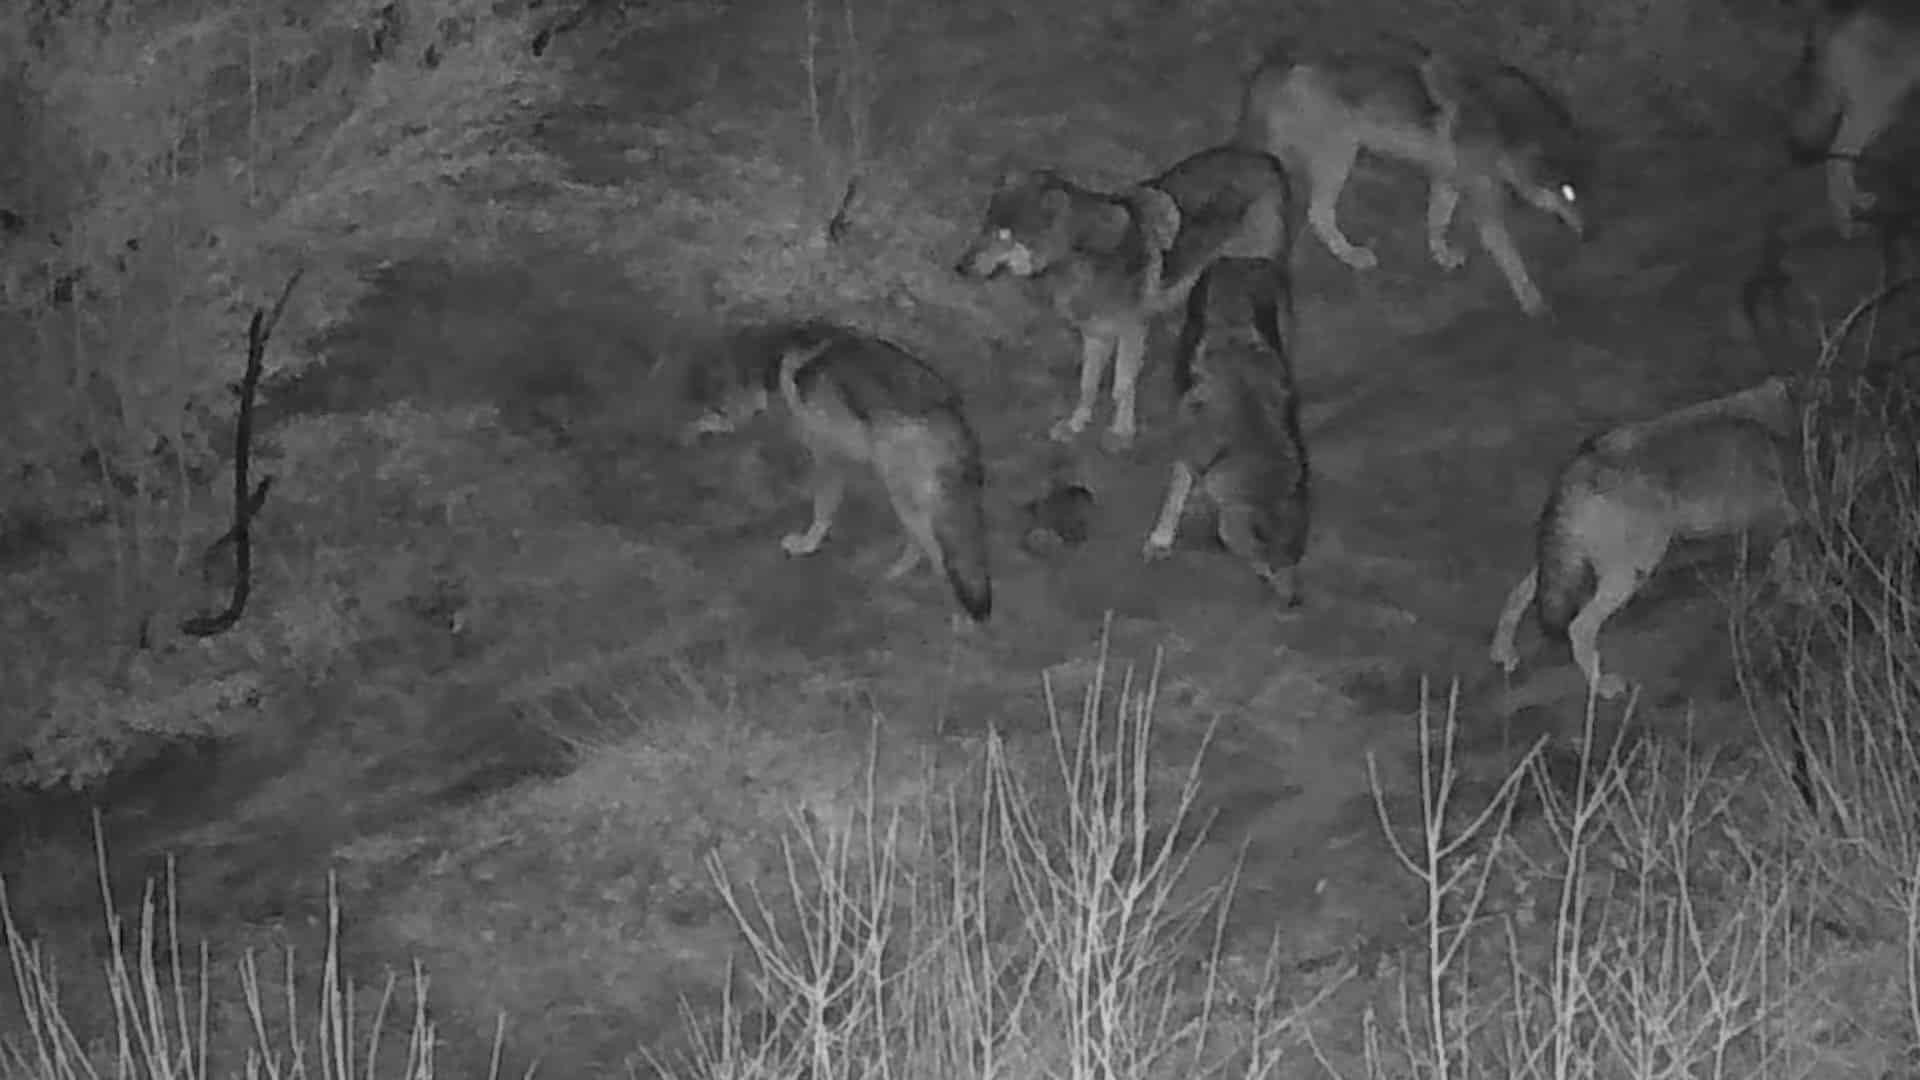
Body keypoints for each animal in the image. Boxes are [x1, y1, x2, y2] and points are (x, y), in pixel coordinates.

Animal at [681, 320, 993, 622]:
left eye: (715, 405)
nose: (688, 429)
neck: (782, 353)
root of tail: (951, 423)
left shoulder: (828, 459)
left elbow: (822, 511)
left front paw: (806, 544)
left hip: (907, 502)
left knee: (936, 556)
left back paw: (949, 610)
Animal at [955, 145, 1299, 451]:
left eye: (1004, 235)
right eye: (985, 227)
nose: (959, 268)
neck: (1080, 255)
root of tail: (1269, 159)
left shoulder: (1131, 330)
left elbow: (1121, 386)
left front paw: (1120, 434)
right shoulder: (1095, 334)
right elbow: (1087, 386)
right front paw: (1076, 425)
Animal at [1141, 256, 1312, 606]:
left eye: (1297, 558)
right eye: (1270, 566)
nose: (1294, 602)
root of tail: (1241, 260)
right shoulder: (1187, 450)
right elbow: (1174, 498)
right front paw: (1161, 540)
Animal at [1237, 36, 1585, 317]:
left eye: (1576, 191)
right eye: (1567, 192)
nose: (1588, 233)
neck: (1505, 123)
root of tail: (1276, 61)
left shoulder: (1448, 179)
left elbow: (1437, 221)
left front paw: (1442, 256)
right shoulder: (1482, 200)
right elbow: (1510, 256)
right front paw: (1532, 301)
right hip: (1337, 157)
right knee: (1317, 215)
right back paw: (1352, 257)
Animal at [1489, 376, 1805, 700]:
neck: (1777, 416)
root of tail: (1579, 468)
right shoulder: (1782, 516)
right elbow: (1785, 559)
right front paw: (1796, 591)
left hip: (1564, 563)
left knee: (1518, 594)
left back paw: (1503, 652)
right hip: (1633, 569)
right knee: (1579, 627)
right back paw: (1602, 685)